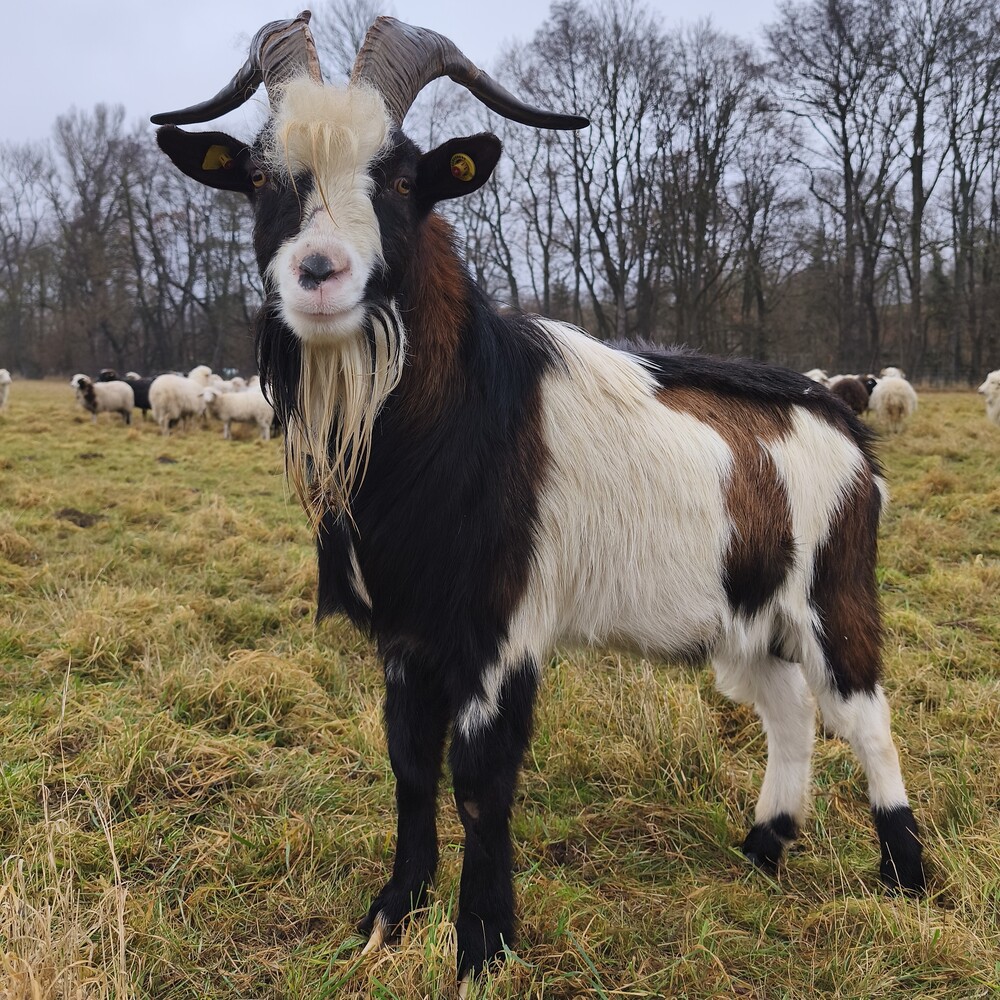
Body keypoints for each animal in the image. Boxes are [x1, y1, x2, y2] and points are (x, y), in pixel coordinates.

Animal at [153, 12, 925, 986]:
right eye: (259, 177)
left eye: (402, 177)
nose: (318, 272)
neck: (459, 418)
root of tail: (843, 425)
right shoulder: (409, 634)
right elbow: (411, 763)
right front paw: (390, 918)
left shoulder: (503, 628)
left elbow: (482, 780)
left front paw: (483, 947)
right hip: (744, 614)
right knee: (787, 709)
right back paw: (762, 850)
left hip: (833, 589)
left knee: (865, 716)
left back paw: (905, 876)